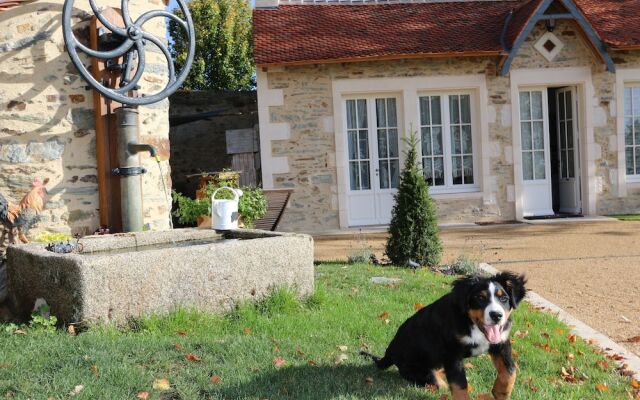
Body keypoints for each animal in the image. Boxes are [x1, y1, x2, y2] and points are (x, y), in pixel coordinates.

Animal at [362, 272, 528, 400]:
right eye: (480, 298)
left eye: (504, 298)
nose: (497, 316)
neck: (471, 323)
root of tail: (390, 352)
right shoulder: (452, 353)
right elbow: (459, 385)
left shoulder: (501, 342)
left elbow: (510, 371)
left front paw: (500, 392)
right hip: (419, 370)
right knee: (438, 382)